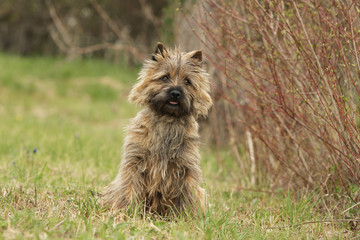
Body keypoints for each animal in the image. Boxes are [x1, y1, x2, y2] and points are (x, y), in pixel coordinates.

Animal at [101, 41, 212, 216]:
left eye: (187, 81)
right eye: (164, 77)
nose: (175, 93)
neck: (167, 119)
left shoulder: (186, 168)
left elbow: (186, 194)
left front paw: (186, 217)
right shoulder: (134, 163)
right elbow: (129, 187)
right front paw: (125, 212)